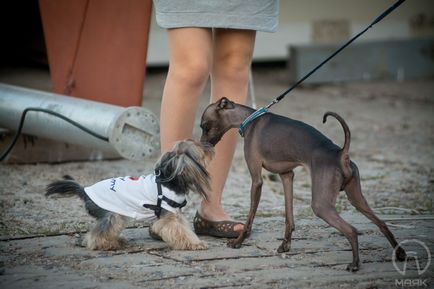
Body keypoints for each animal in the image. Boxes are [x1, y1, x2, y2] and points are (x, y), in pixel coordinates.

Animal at [45, 139, 214, 250]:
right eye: (201, 149)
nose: (210, 146)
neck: (171, 181)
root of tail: (85, 191)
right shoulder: (167, 218)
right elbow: (181, 232)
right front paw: (196, 244)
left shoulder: (175, 214)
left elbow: (184, 228)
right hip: (113, 215)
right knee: (97, 236)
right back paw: (109, 244)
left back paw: (117, 241)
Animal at [200, 96, 406, 270]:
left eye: (205, 126)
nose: (203, 146)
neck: (249, 120)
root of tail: (341, 154)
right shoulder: (286, 175)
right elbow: (289, 216)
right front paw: (285, 245)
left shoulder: (257, 180)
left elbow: (250, 217)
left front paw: (238, 242)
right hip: (356, 197)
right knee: (381, 223)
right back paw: (400, 253)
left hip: (321, 205)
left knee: (352, 230)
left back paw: (355, 264)